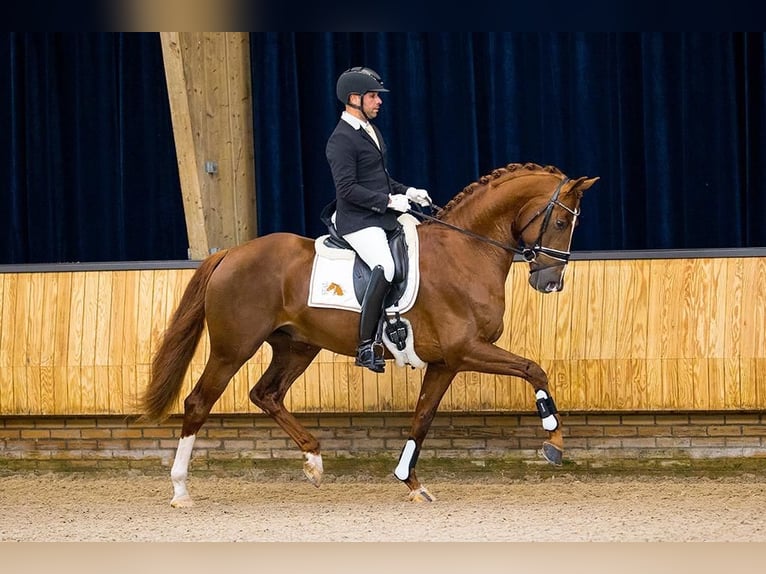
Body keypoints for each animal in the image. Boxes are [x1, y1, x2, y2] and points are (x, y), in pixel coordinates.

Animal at [142, 163, 600, 508]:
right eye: (560, 221)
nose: (550, 283)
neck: (465, 253)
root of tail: (229, 254)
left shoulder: (446, 362)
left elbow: (422, 417)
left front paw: (411, 482)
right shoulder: (468, 350)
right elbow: (534, 369)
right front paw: (554, 442)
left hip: (297, 346)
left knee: (266, 393)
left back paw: (314, 461)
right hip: (232, 348)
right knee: (198, 402)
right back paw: (181, 490)